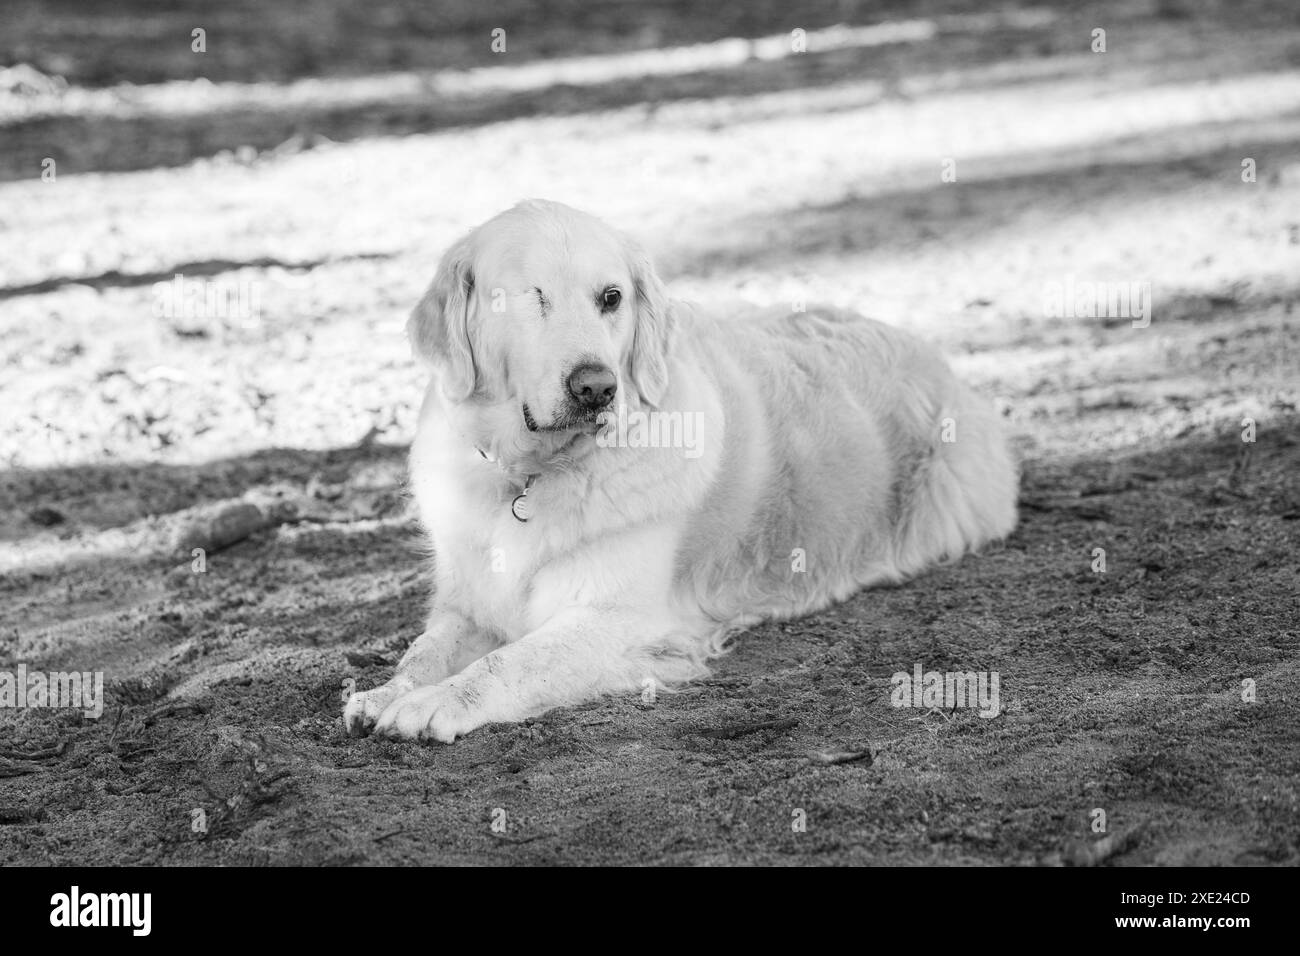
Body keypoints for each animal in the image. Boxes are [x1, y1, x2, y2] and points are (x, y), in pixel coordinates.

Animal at [345, 197, 1013, 743]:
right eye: (530, 297)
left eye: (611, 298)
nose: (597, 388)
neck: (530, 476)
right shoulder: (467, 605)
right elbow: (422, 652)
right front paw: (385, 693)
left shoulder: (620, 623)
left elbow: (508, 662)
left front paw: (433, 704)